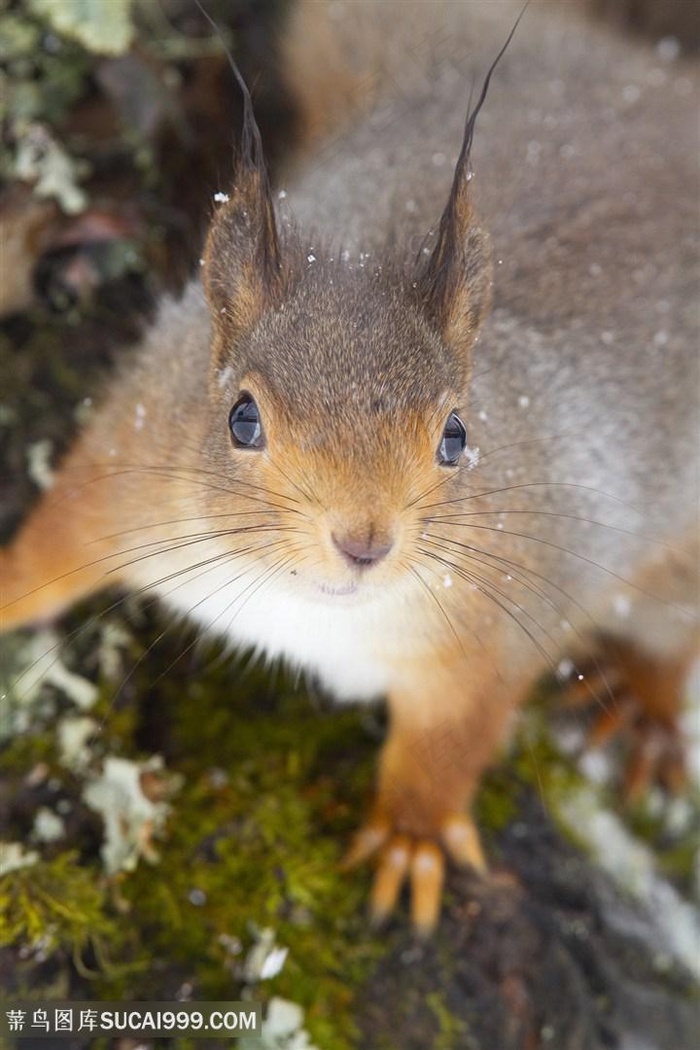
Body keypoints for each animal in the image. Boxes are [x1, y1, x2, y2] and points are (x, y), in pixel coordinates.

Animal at [1, 2, 700, 936]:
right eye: (243, 418)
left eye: (456, 434)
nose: (364, 541)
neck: (307, 609)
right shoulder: (133, 459)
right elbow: (57, 539)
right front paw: (4, 588)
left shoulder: (505, 613)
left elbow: (452, 738)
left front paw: (413, 834)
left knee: (673, 632)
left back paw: (644, 708)